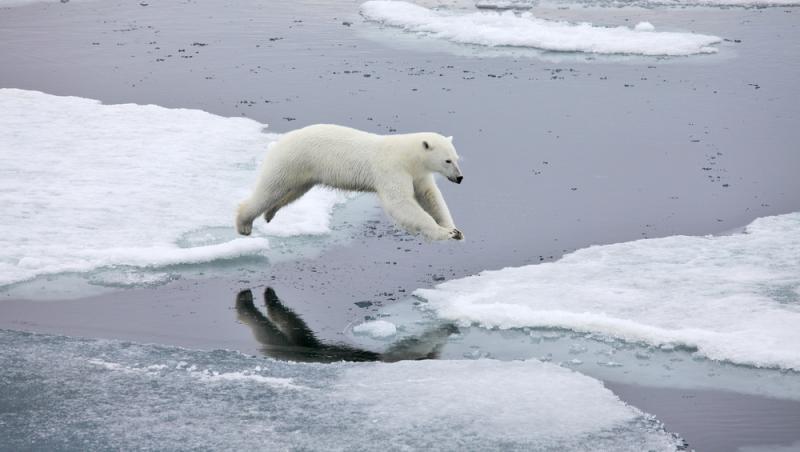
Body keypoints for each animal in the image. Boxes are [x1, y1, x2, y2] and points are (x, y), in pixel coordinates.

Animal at [234, 123, 466, 242]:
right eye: (447, 160)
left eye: (456, 158)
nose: (460, 178)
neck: (408, 156)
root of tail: (280, 141)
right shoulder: (391, 169)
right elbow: (400, 203)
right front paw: (443, 232)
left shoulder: (417, 174)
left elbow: (430, 196)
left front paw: (455, 230)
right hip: (291, 161)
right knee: (270, 189)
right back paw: (244, 224)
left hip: (304, 172)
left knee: (293, 192)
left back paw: (270, 213)